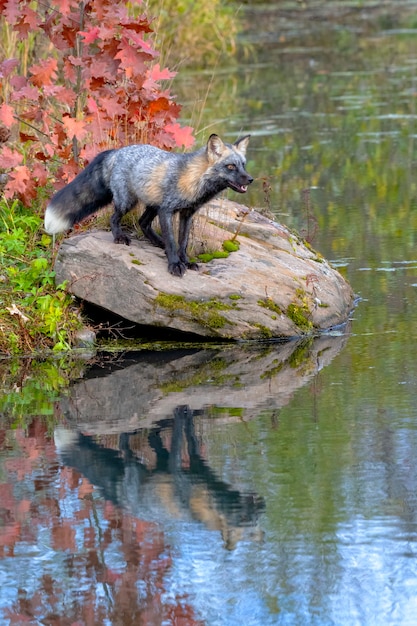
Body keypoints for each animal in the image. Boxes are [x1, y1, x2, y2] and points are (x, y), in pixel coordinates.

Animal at [45, 133, 254, 276]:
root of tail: (117, 151)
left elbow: (182, 243)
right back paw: (119, 237)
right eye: (231, 166)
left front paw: (185, 261)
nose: (250, 179)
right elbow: (172, 241)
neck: (194, 180)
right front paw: (174, 264)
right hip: (127, 202)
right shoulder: (167, 210)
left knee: (143, 223)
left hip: (152, 205)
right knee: (115, 218)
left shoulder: (186, 214)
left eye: (243, 165)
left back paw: (157, 243)